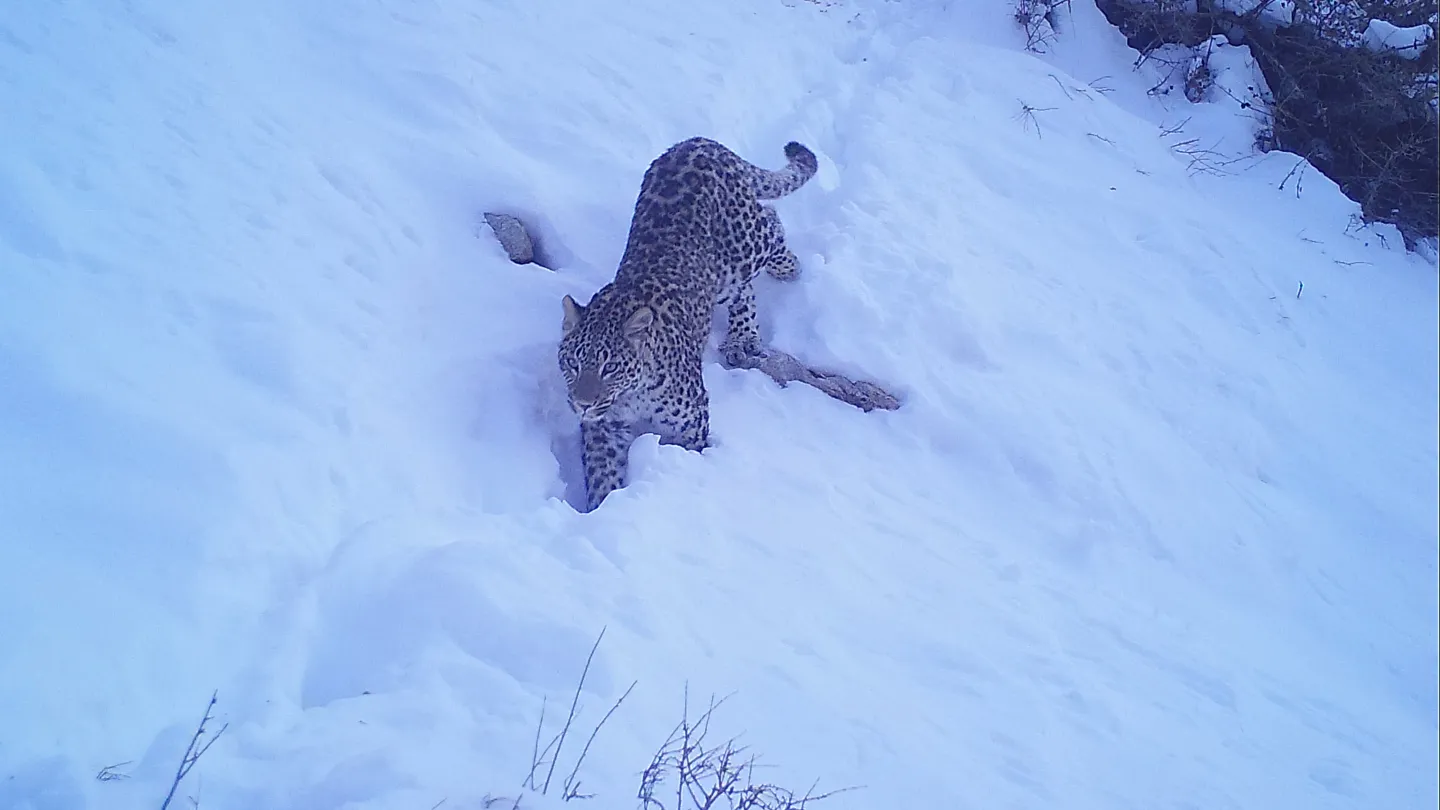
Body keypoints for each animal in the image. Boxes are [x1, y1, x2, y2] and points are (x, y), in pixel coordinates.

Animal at [557, 136, 819, 511]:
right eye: (572, 364)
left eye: (610, 368)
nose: (582, 404)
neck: (632, 396)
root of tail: (697, 142)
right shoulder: (604, 428)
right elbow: (602, 474)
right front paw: (604, 506)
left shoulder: (690, 423)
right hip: (723, 279)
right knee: (745, 290)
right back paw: (742, 336)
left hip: (743, 248)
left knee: (770, 221)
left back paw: (789, 270)